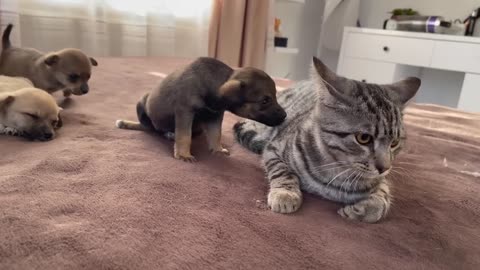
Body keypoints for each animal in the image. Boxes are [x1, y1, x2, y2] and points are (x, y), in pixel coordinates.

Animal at [116, 57, 286, 161]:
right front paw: (183, 154)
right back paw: (128, 123)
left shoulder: (215, 116)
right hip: (142, 104)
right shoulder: (185, 112)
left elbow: (215, 135)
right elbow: (184, 136)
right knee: (148, 127)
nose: (285, 115)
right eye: (265, 100)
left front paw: (218, 150)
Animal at [233, 56, 420, 221]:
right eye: (363, 138)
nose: (384, 168)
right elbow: (282, 170)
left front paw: (362, 210)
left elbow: (381, 199)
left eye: (394, 143)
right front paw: (285, 193)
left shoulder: (381, 181)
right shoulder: (274, 149)